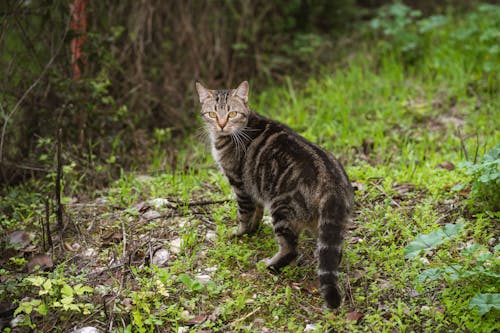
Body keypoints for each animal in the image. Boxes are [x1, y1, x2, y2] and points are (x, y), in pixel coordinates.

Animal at [193, 81, 354, 308]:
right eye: (213, 114)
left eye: (232, 113)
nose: (222, 124)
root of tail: (332, 182)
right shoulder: (256, 189)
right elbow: (256, 213)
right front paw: (253, 230)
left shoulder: (240, 185)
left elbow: (244, 215)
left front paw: (240, 233)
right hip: (322, 221)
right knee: (332, 251)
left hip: (281, 209)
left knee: (290, 249)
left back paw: (270, 265)